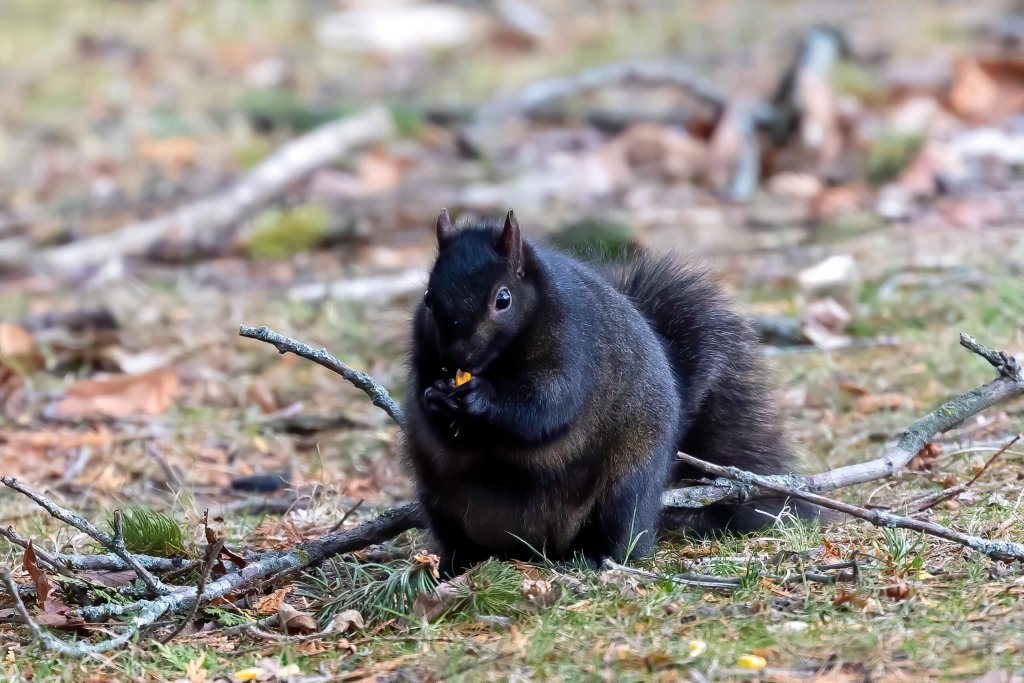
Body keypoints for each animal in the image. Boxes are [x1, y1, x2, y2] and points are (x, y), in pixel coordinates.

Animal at [403, 209, 819, 577]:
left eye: (502, 299)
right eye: (427, 297)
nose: (458, 356)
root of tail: (532, 548)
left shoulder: (575, 342)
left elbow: (547, 405)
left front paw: (481, 398)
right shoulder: (422, 351)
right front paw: (435, 398)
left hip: (622, 493)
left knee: (623, 539)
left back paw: (593, 560)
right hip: (439, 503)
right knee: (460, 543)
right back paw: (452, 567)